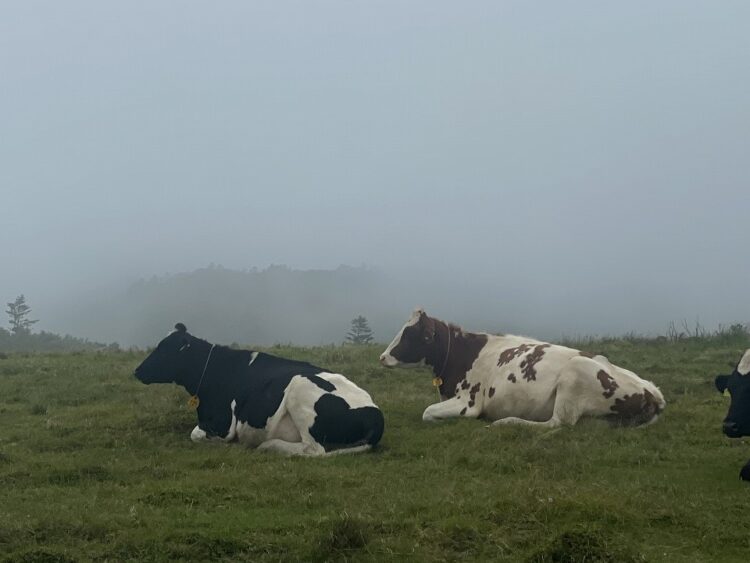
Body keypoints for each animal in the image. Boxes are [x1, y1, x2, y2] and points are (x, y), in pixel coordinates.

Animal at [131, 324, 384, 456]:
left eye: (164, 349)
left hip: (300, 387)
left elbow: (196, 434)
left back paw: (268, 445)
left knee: (313, 449)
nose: (137, 371)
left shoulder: (223, 425)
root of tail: (376, 414)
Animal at [378, 308, 668, 428]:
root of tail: (651, 392)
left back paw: (507, 422)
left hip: (575, 373)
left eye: (409, 335)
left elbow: (427, 412)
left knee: (557, 423)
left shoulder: (468, 403)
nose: (382, 357)